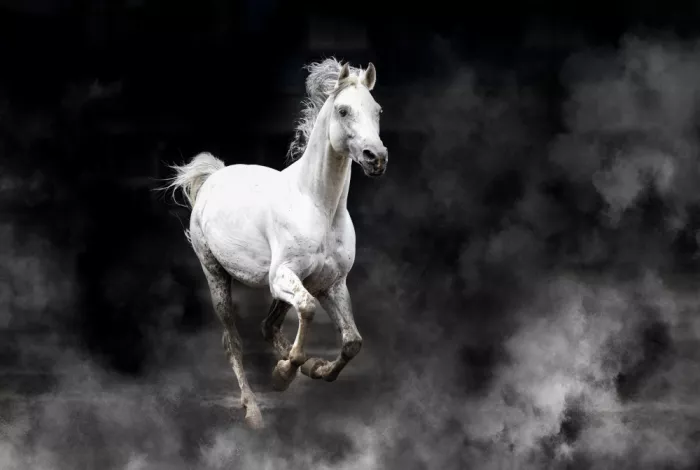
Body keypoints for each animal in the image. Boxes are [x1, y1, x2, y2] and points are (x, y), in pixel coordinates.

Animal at [162, 58, 388, 429]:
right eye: (343, 110)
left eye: (377, 110)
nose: (376, 158)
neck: (317, 206)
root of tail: (213, 176)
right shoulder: (282, 276)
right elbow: (307, 310)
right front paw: (283, 375)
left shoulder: (331, 283)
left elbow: (352, 341)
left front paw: (316, 368)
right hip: (215, 274)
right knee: (233, 342)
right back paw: (253, 409)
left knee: (268, 326)